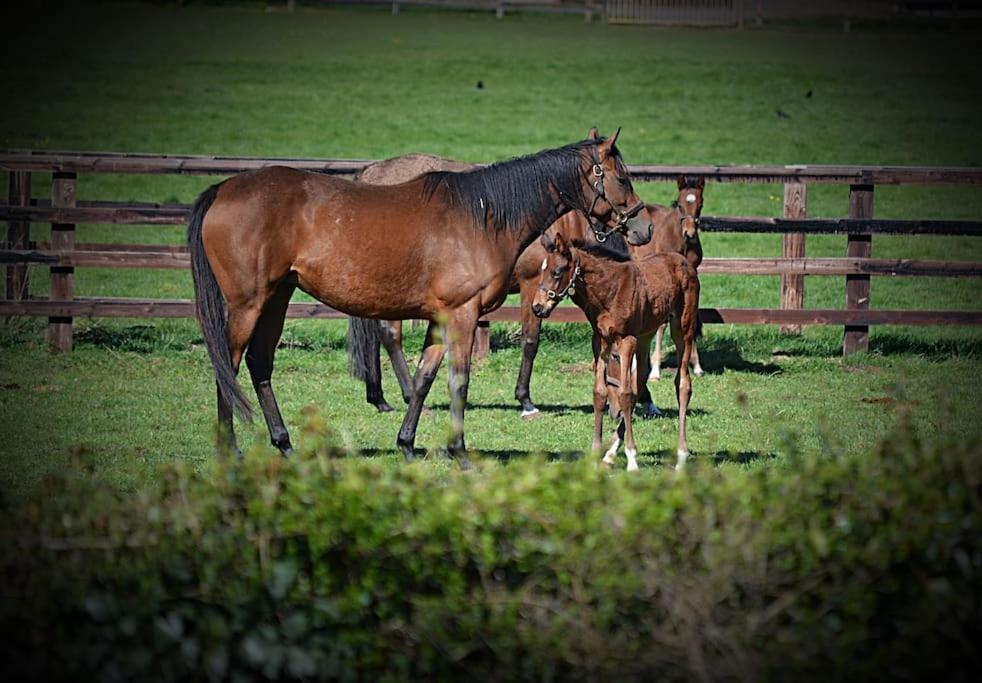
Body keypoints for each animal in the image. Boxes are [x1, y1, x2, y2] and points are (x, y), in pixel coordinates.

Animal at [188, 132, 656, 468]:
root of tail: (223, 189)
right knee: (228, 365)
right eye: (622, 177)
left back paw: (284, 444)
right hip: (249, 304)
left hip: (277, 297)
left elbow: (424, 379)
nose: (644, 228)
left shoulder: (440, 319)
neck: (482, 215)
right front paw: (460, 452)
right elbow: (459, 381)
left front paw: (408, 444)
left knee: (260, 364)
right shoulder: (464, 315)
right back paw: (231, 450)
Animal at [532, 230, 700, 470]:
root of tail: (684, 261)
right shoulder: (600, 340)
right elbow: (600, 393)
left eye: (556, 272)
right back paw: (610, 453)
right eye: (541, 270)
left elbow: (624, 393)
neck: (609, 291)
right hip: (646, 333)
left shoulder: (626, 339)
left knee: (682, 384)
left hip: (682, 328)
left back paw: (681, 455)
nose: (537, 308)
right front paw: (596, 453)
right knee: (641, 377)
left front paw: (632, 459)